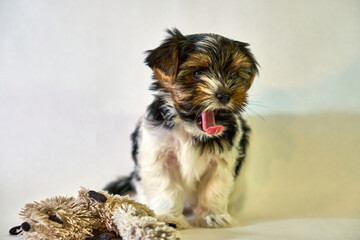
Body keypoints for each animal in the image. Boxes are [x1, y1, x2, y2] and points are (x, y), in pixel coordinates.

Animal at [105, 29, 258, 230]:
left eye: (233, 76)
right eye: (197, 73)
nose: (224, 95)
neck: (189, 129)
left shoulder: (221, 160)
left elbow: (214, 187)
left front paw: (213, 216)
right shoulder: (158, 153)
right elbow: (165, 187)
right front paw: (169, 218)